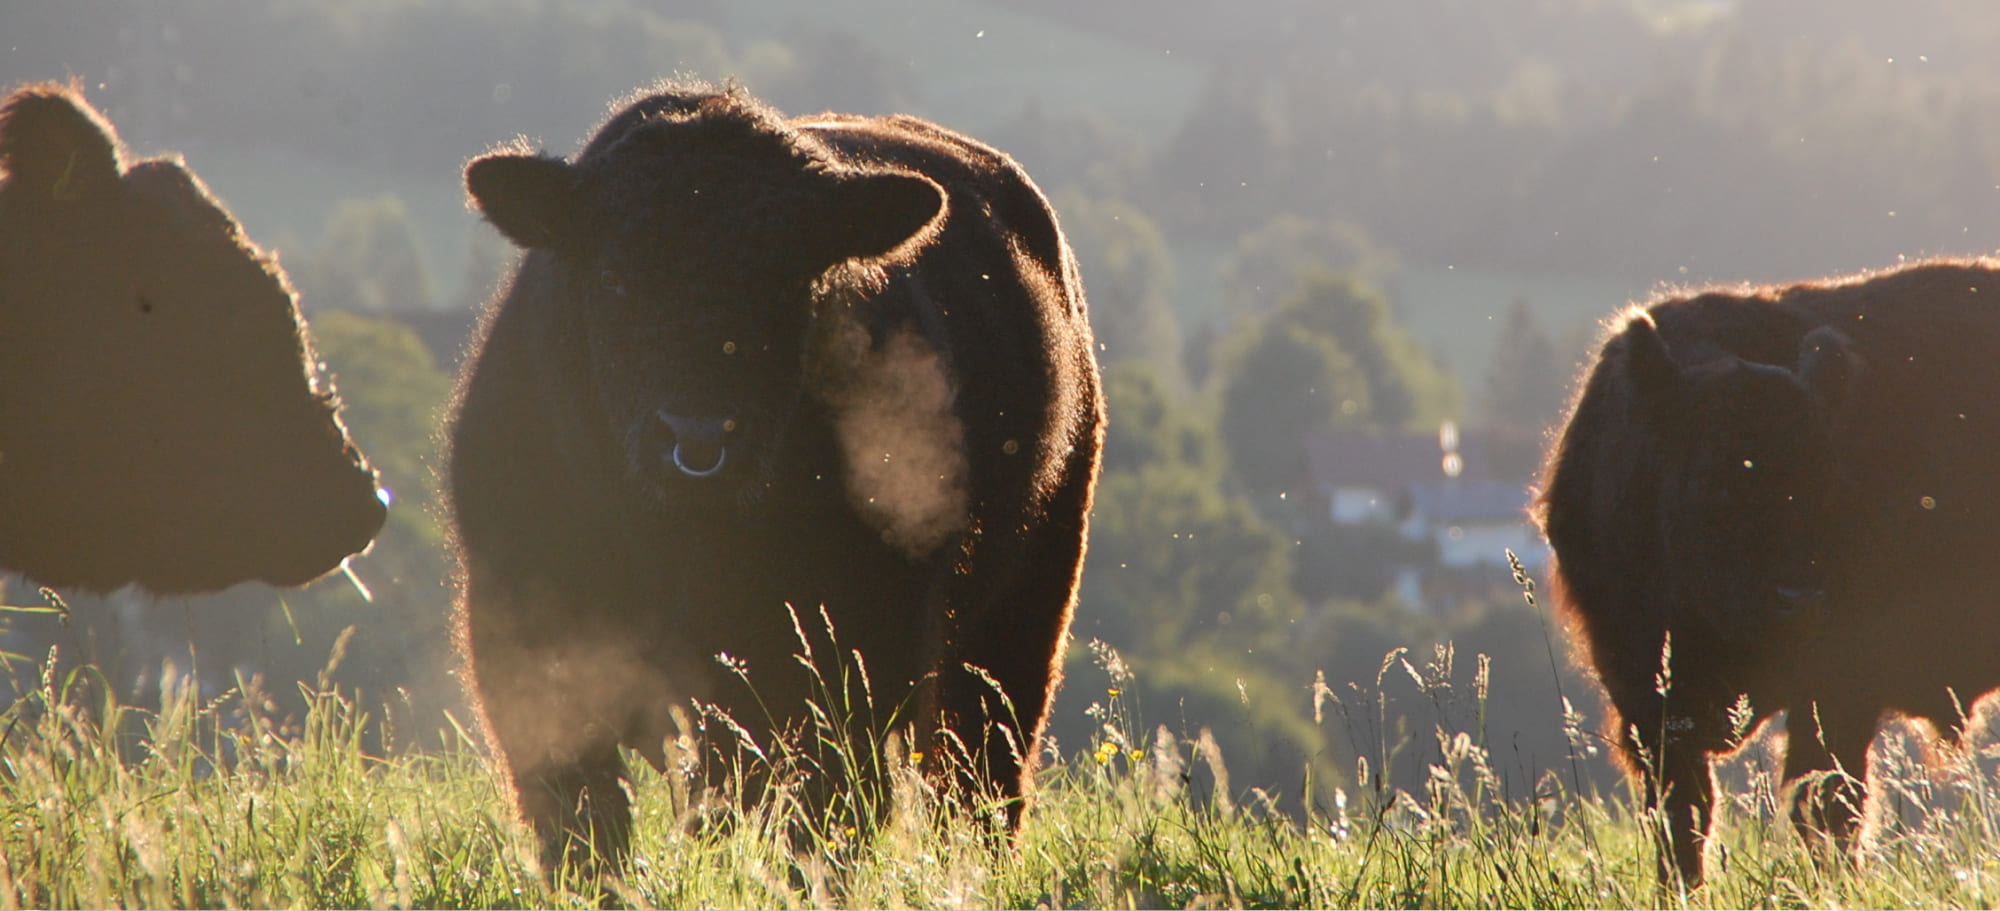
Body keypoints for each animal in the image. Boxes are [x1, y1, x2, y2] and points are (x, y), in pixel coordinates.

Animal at [446, 79, 1104, 867]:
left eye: (786, 280)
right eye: (612, 276)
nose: (697, 437)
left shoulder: (846, 654)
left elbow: (826, 824)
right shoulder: (530, 647)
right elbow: (583, 827)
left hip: (1022, 613)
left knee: (977, 785)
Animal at [1536, 259, 2000, 887]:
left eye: (1831, 481)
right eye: (1709, 479)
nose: (1798, 598)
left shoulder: (1838, 689)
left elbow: (1825, 803)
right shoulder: (1643, 693)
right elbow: (1682, 814)